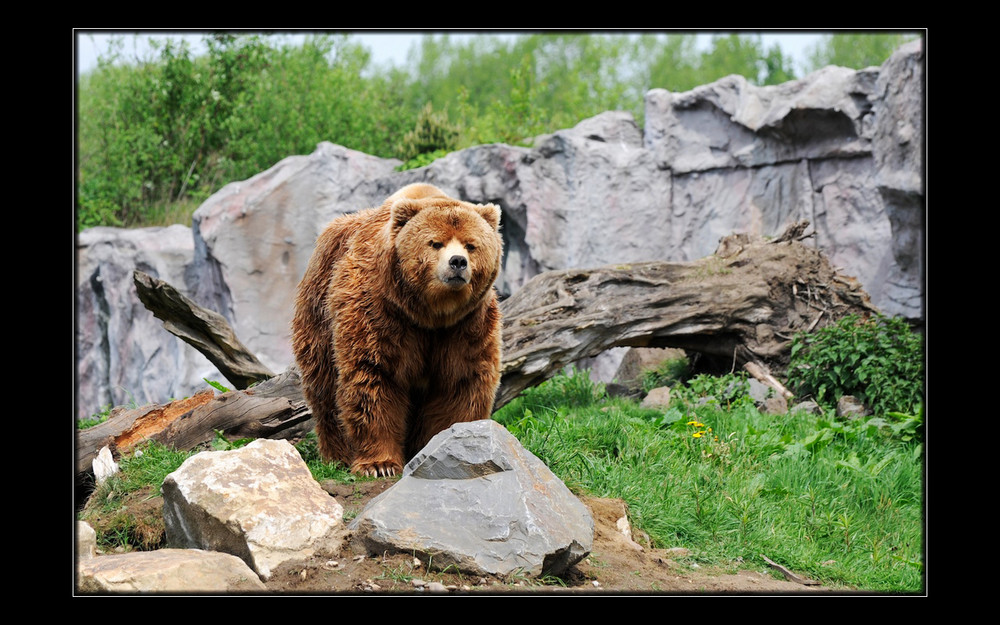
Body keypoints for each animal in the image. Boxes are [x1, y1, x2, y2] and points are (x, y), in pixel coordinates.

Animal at [292, 183, 504, 476]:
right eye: (435, 243)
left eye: (471, 245)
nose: (458, 262)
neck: (430, 314)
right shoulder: (379, 311)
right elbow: (374, 376)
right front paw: (380, 465)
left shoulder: (466, 325)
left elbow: (460, 382)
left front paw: (449, 445)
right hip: (319, 312)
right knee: (324, 385)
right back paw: (337, 454)